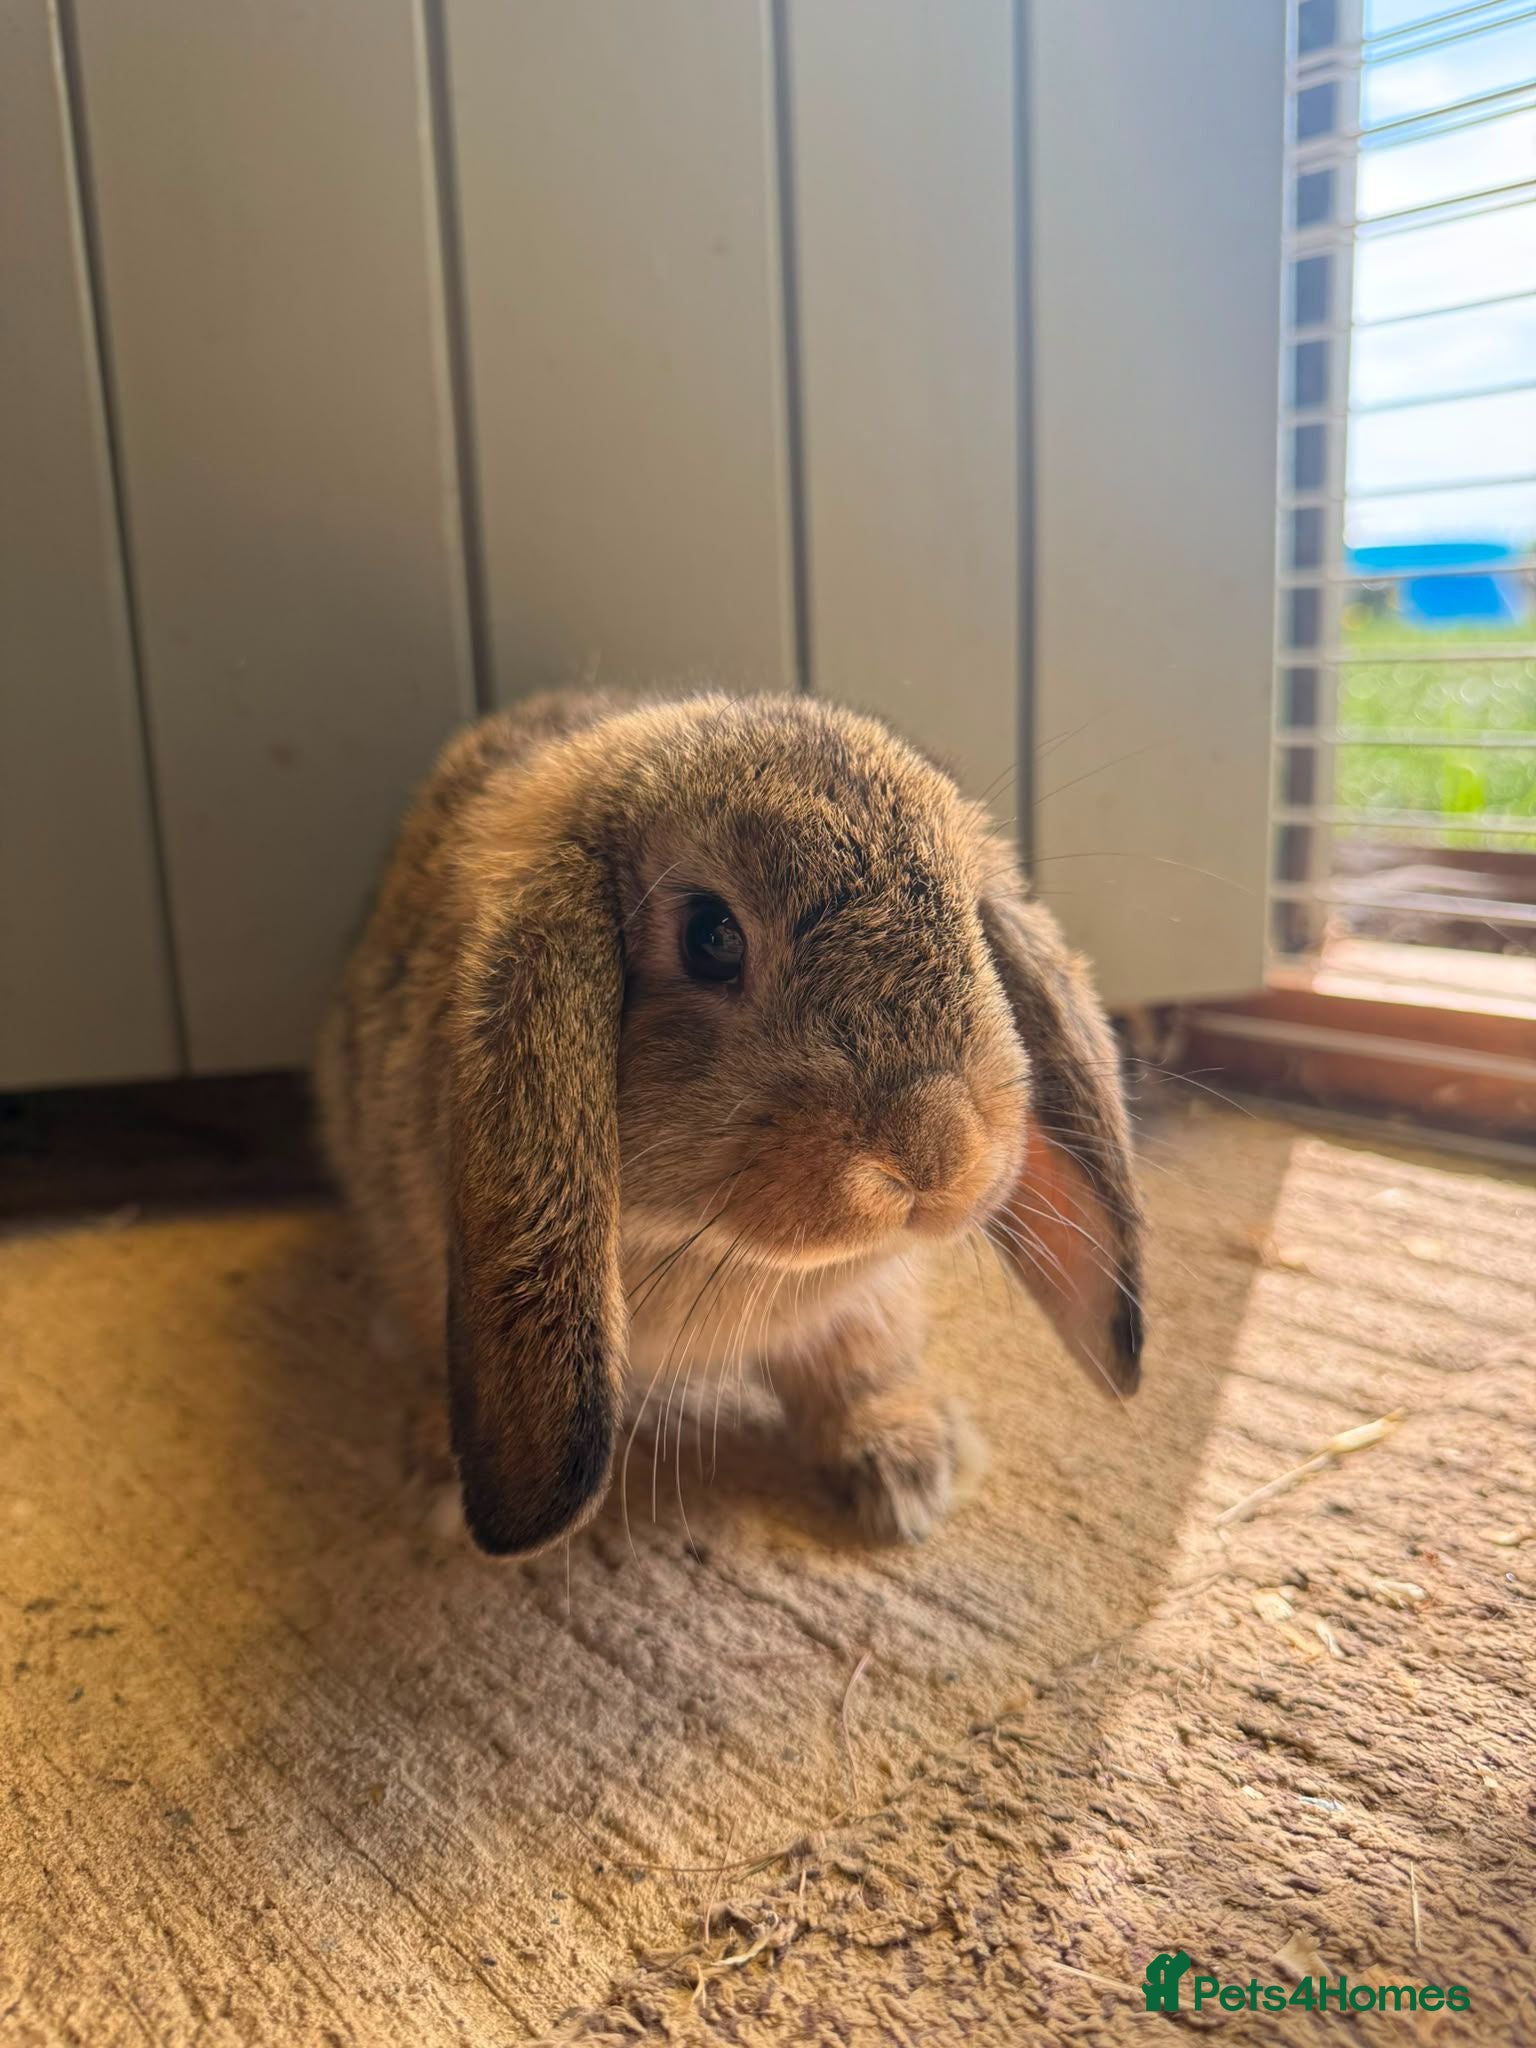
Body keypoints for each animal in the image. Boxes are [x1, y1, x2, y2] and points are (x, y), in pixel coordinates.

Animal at [315, 689, 1144, 1556]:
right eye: (710, 936)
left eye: (976, 931)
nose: (934, 1155)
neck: (706, 1247)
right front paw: (437, 1487)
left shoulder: (865, 1307)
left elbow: (862, 1365)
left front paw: (911, 1471)